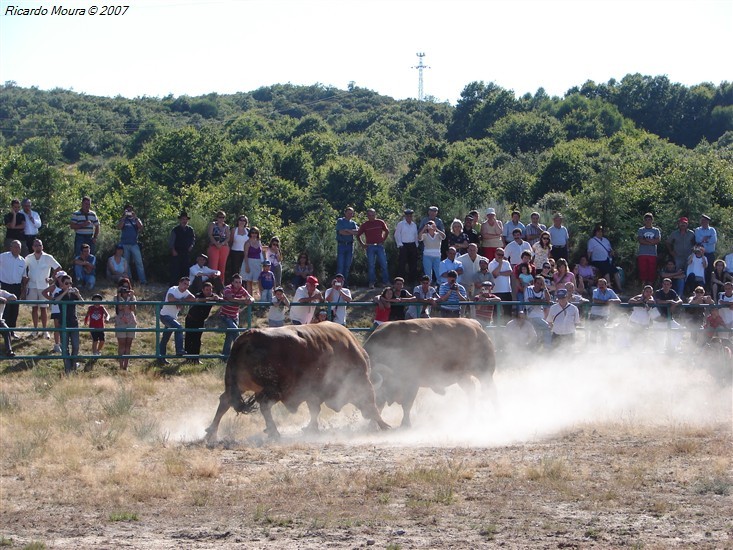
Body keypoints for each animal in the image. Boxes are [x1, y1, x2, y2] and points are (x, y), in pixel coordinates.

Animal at [204, 324, 388, 444]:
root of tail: (249, 335)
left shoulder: (312, 394)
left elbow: (314, 410)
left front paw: (311, 429)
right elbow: (372, 405)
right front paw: (385, 426)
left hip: (238, 385)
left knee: (225, 401)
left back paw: (210, 433)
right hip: (273, 390)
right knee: (264, 405)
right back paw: (274, 433)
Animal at [364, 316, 494, 430]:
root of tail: (476, 325)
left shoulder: (412, 384)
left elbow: (406, 405)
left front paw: (405, 424)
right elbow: (380, 407)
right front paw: (372, 426)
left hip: (484, 374)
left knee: (490, 391)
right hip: (462, 377)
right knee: (471, 392)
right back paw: (469, 417)